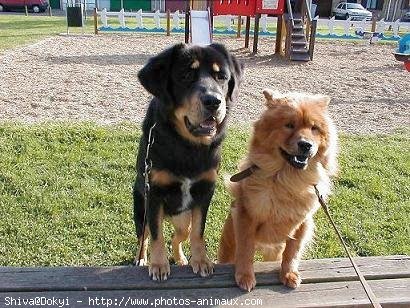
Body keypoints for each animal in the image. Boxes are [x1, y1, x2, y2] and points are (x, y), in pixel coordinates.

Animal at [135, 43, 243, 282]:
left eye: (222, 76)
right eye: (186, 75)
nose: (214, 101)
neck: (188, 146)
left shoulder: (205, 191)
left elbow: (198, 232)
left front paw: (201, 260)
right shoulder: (154, 193)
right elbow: (156, 235)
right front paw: (158, 264)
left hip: (184, 219)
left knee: (178, 237)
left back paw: (182, 258)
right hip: (141, 209)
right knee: (144, 236)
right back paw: (142, 259)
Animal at [218, 89, 336, 292]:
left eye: (314, 128)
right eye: (289, 125)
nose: (306, 144)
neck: (287, 180)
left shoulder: (302, 224)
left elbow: (292, 252)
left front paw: (289, 274)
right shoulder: (247, 217)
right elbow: (245, 251)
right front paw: (245, 277)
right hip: (229, 239)